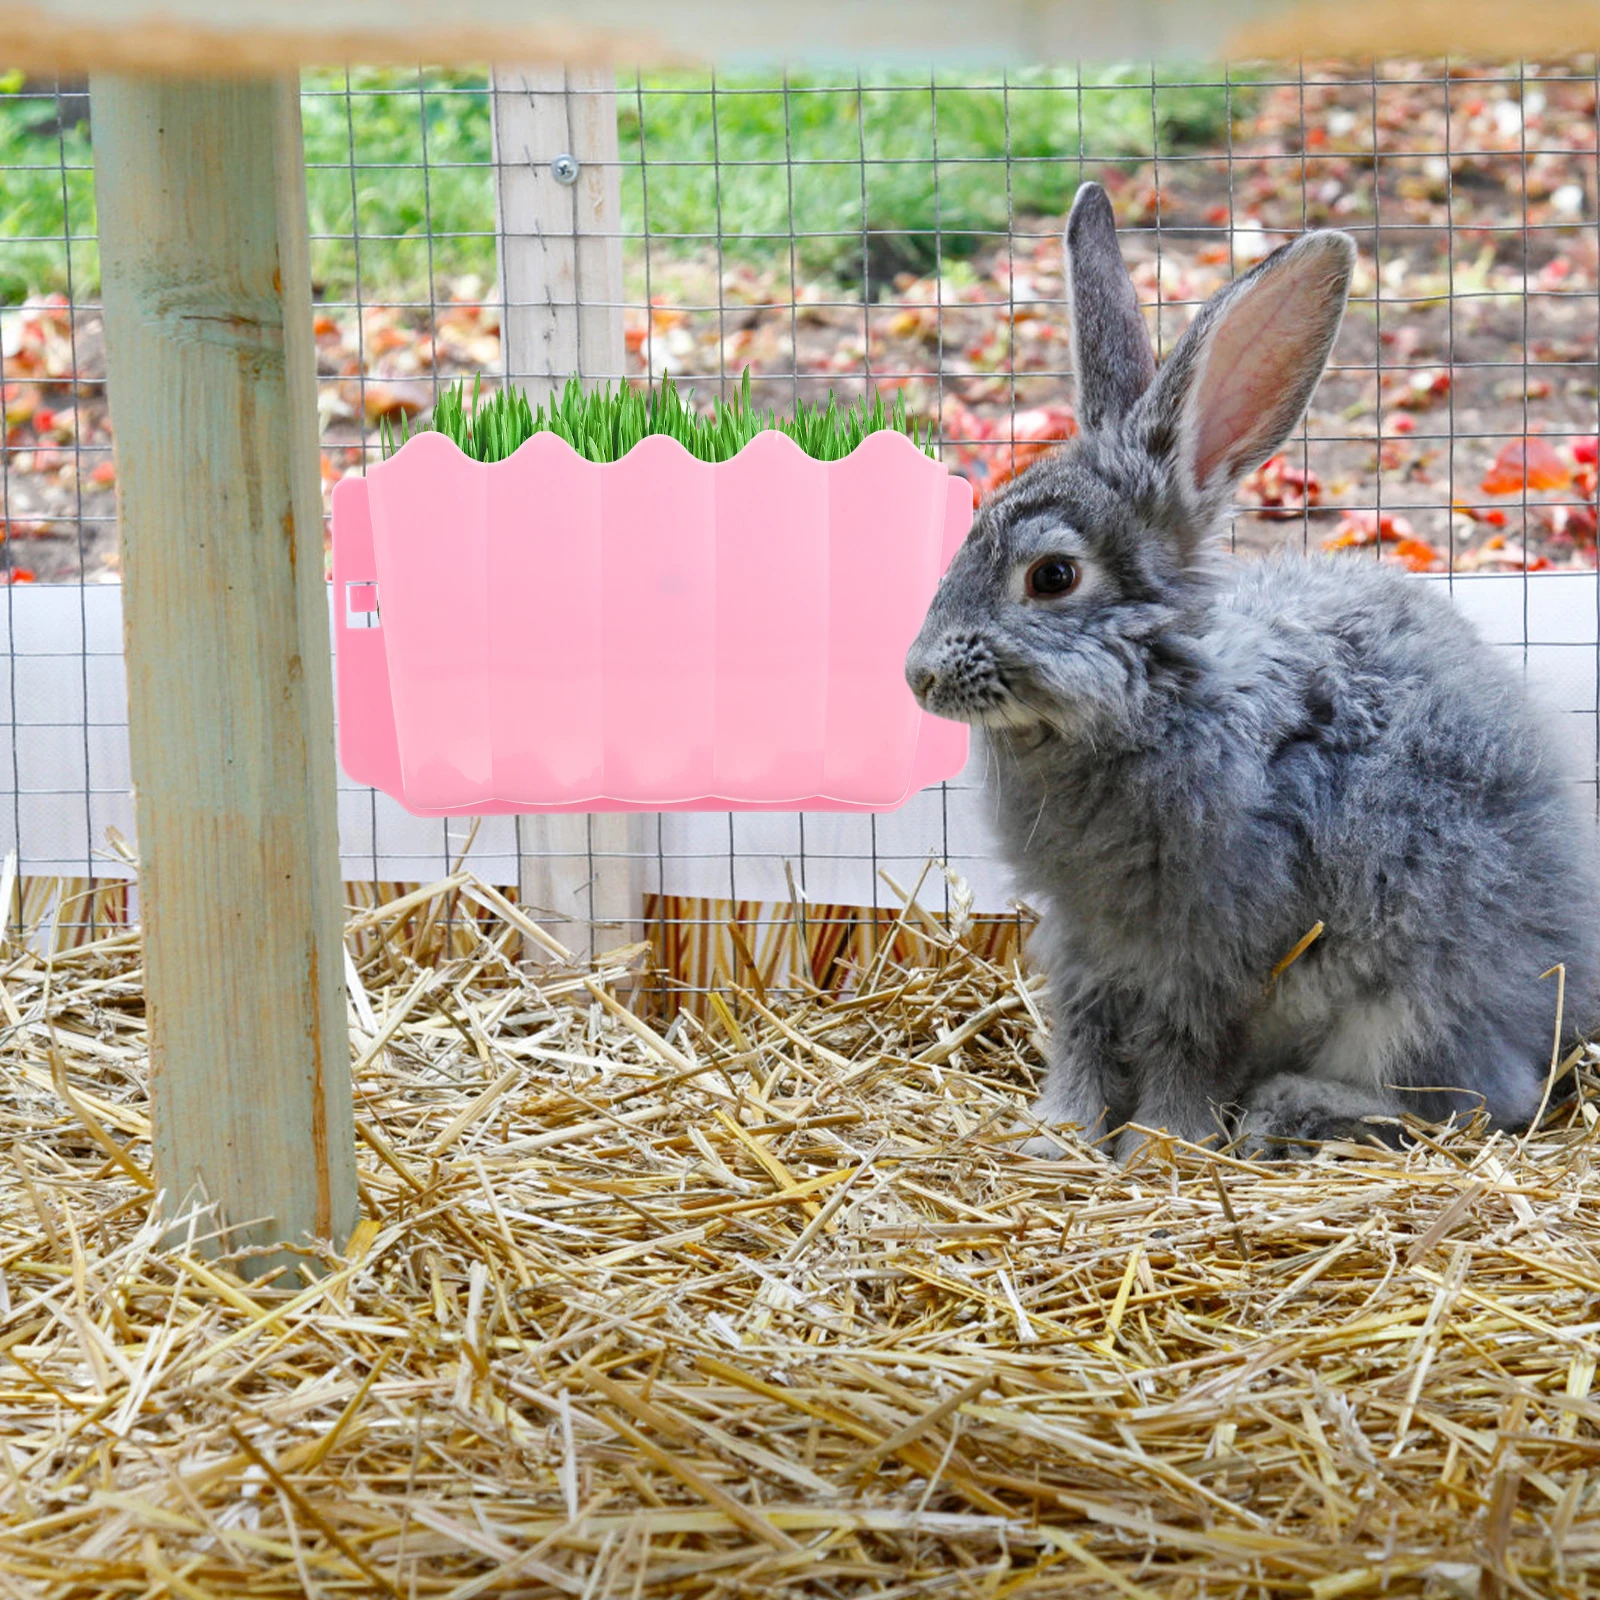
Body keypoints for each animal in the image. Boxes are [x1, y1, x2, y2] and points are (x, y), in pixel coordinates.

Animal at [905, 182, 1600, 1163]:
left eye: (1053, 577)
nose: (918, 676)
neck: (1160, 700)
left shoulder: (1215, 949)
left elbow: (1184, 1046)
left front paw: (1161, 1146)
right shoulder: (1083, 943)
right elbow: (1082, 1035)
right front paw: (1060, 1137)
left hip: (1415, 1002)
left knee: (1473, 1100)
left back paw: (1291, 1112)